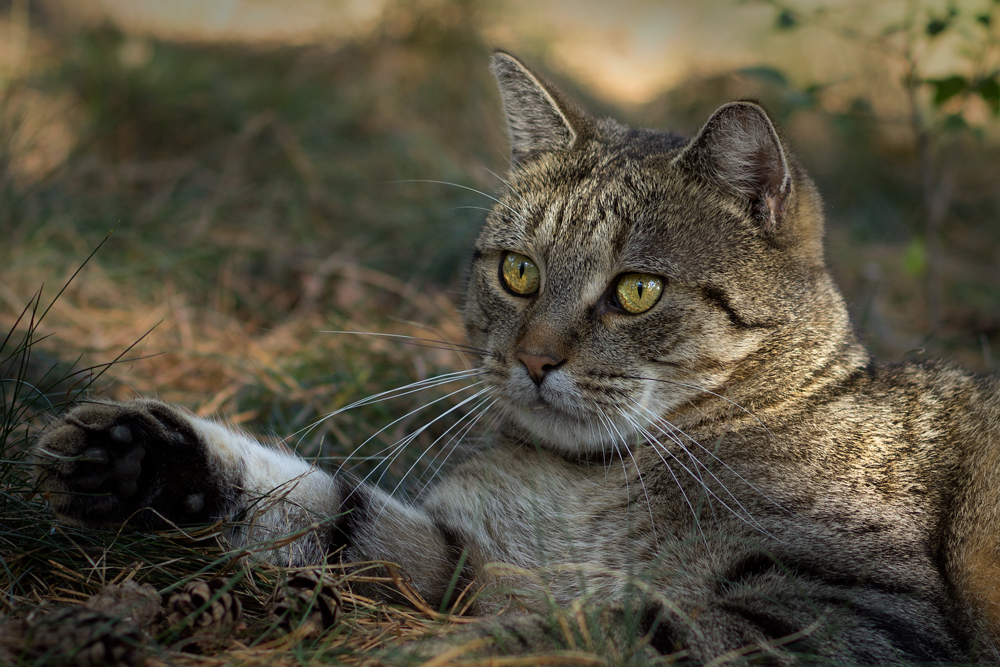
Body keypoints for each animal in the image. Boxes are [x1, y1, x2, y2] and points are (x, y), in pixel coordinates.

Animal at [29, 51, 1000, 664]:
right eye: (519, 270)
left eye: (636, 290)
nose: (534, 361)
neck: (594, 477)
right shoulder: (473, 554)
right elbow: (327, 509)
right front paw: (147, 460)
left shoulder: (842, 619)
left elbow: (615, 629)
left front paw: (453, 651)